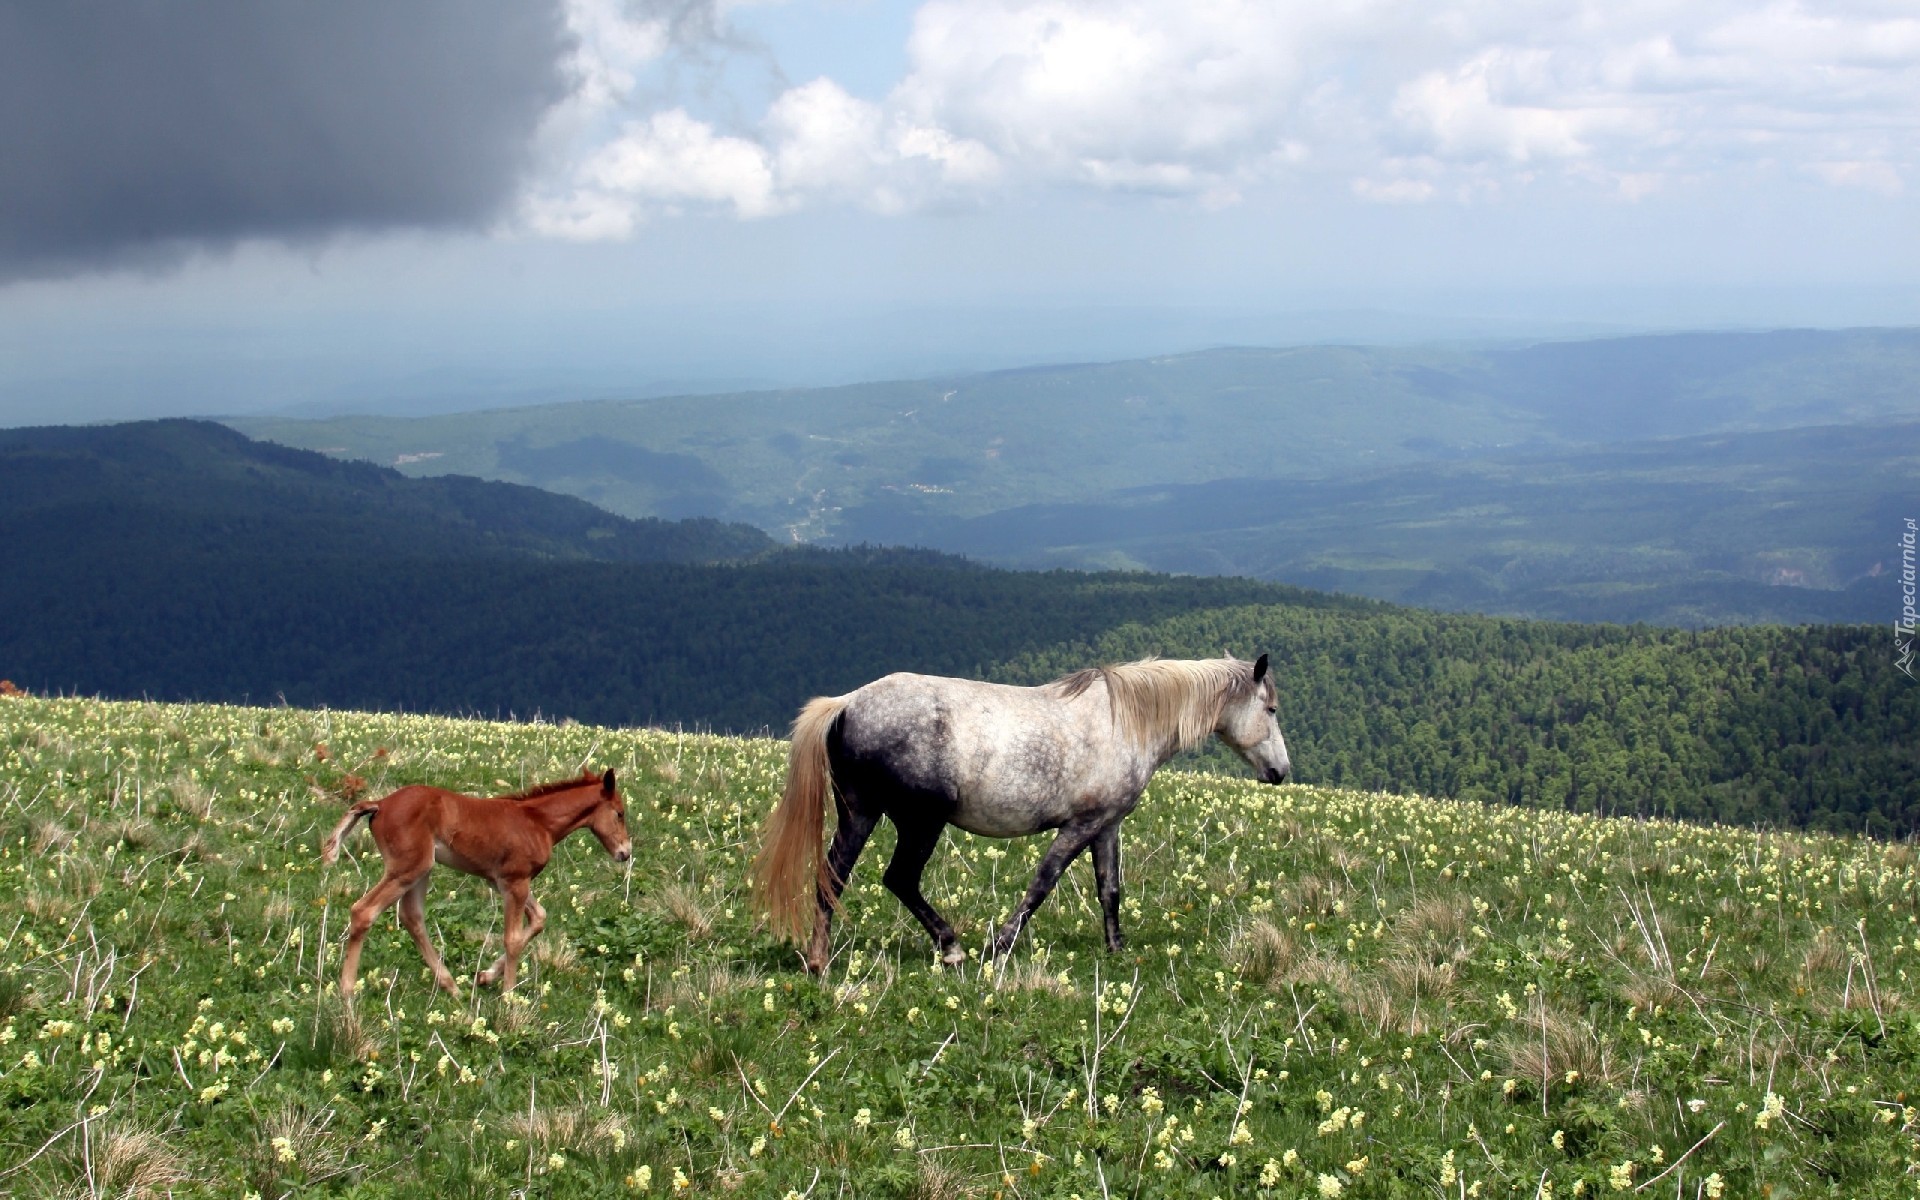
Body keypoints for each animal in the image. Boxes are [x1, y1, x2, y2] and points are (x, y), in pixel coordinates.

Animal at [322, 771, 629, 998]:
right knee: (364, 911)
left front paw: (485, 977)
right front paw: (508, 998)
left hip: (421, 870)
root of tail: (381, 803)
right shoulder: (515, 882)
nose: (625, 852)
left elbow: (539, 919)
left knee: (412, 917)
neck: (538, 822)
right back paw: (347, 991)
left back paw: (452, 988)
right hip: (407, 869)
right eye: (620, 813)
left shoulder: (503, 882)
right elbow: (513, 939)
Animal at [752, 656, 1290, 975]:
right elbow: (1043, 882)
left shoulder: (1107, 825)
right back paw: (951, 947)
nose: (1280, 772)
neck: (1125, 721)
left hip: (860, 814)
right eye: (1271, 709)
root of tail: (847, 703)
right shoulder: (1081, 825)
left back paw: (819, 960)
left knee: (833, 876)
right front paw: (1001, 944)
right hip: (921, 822)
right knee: (900, 877)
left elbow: (1110, 890)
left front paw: (1116, 949)